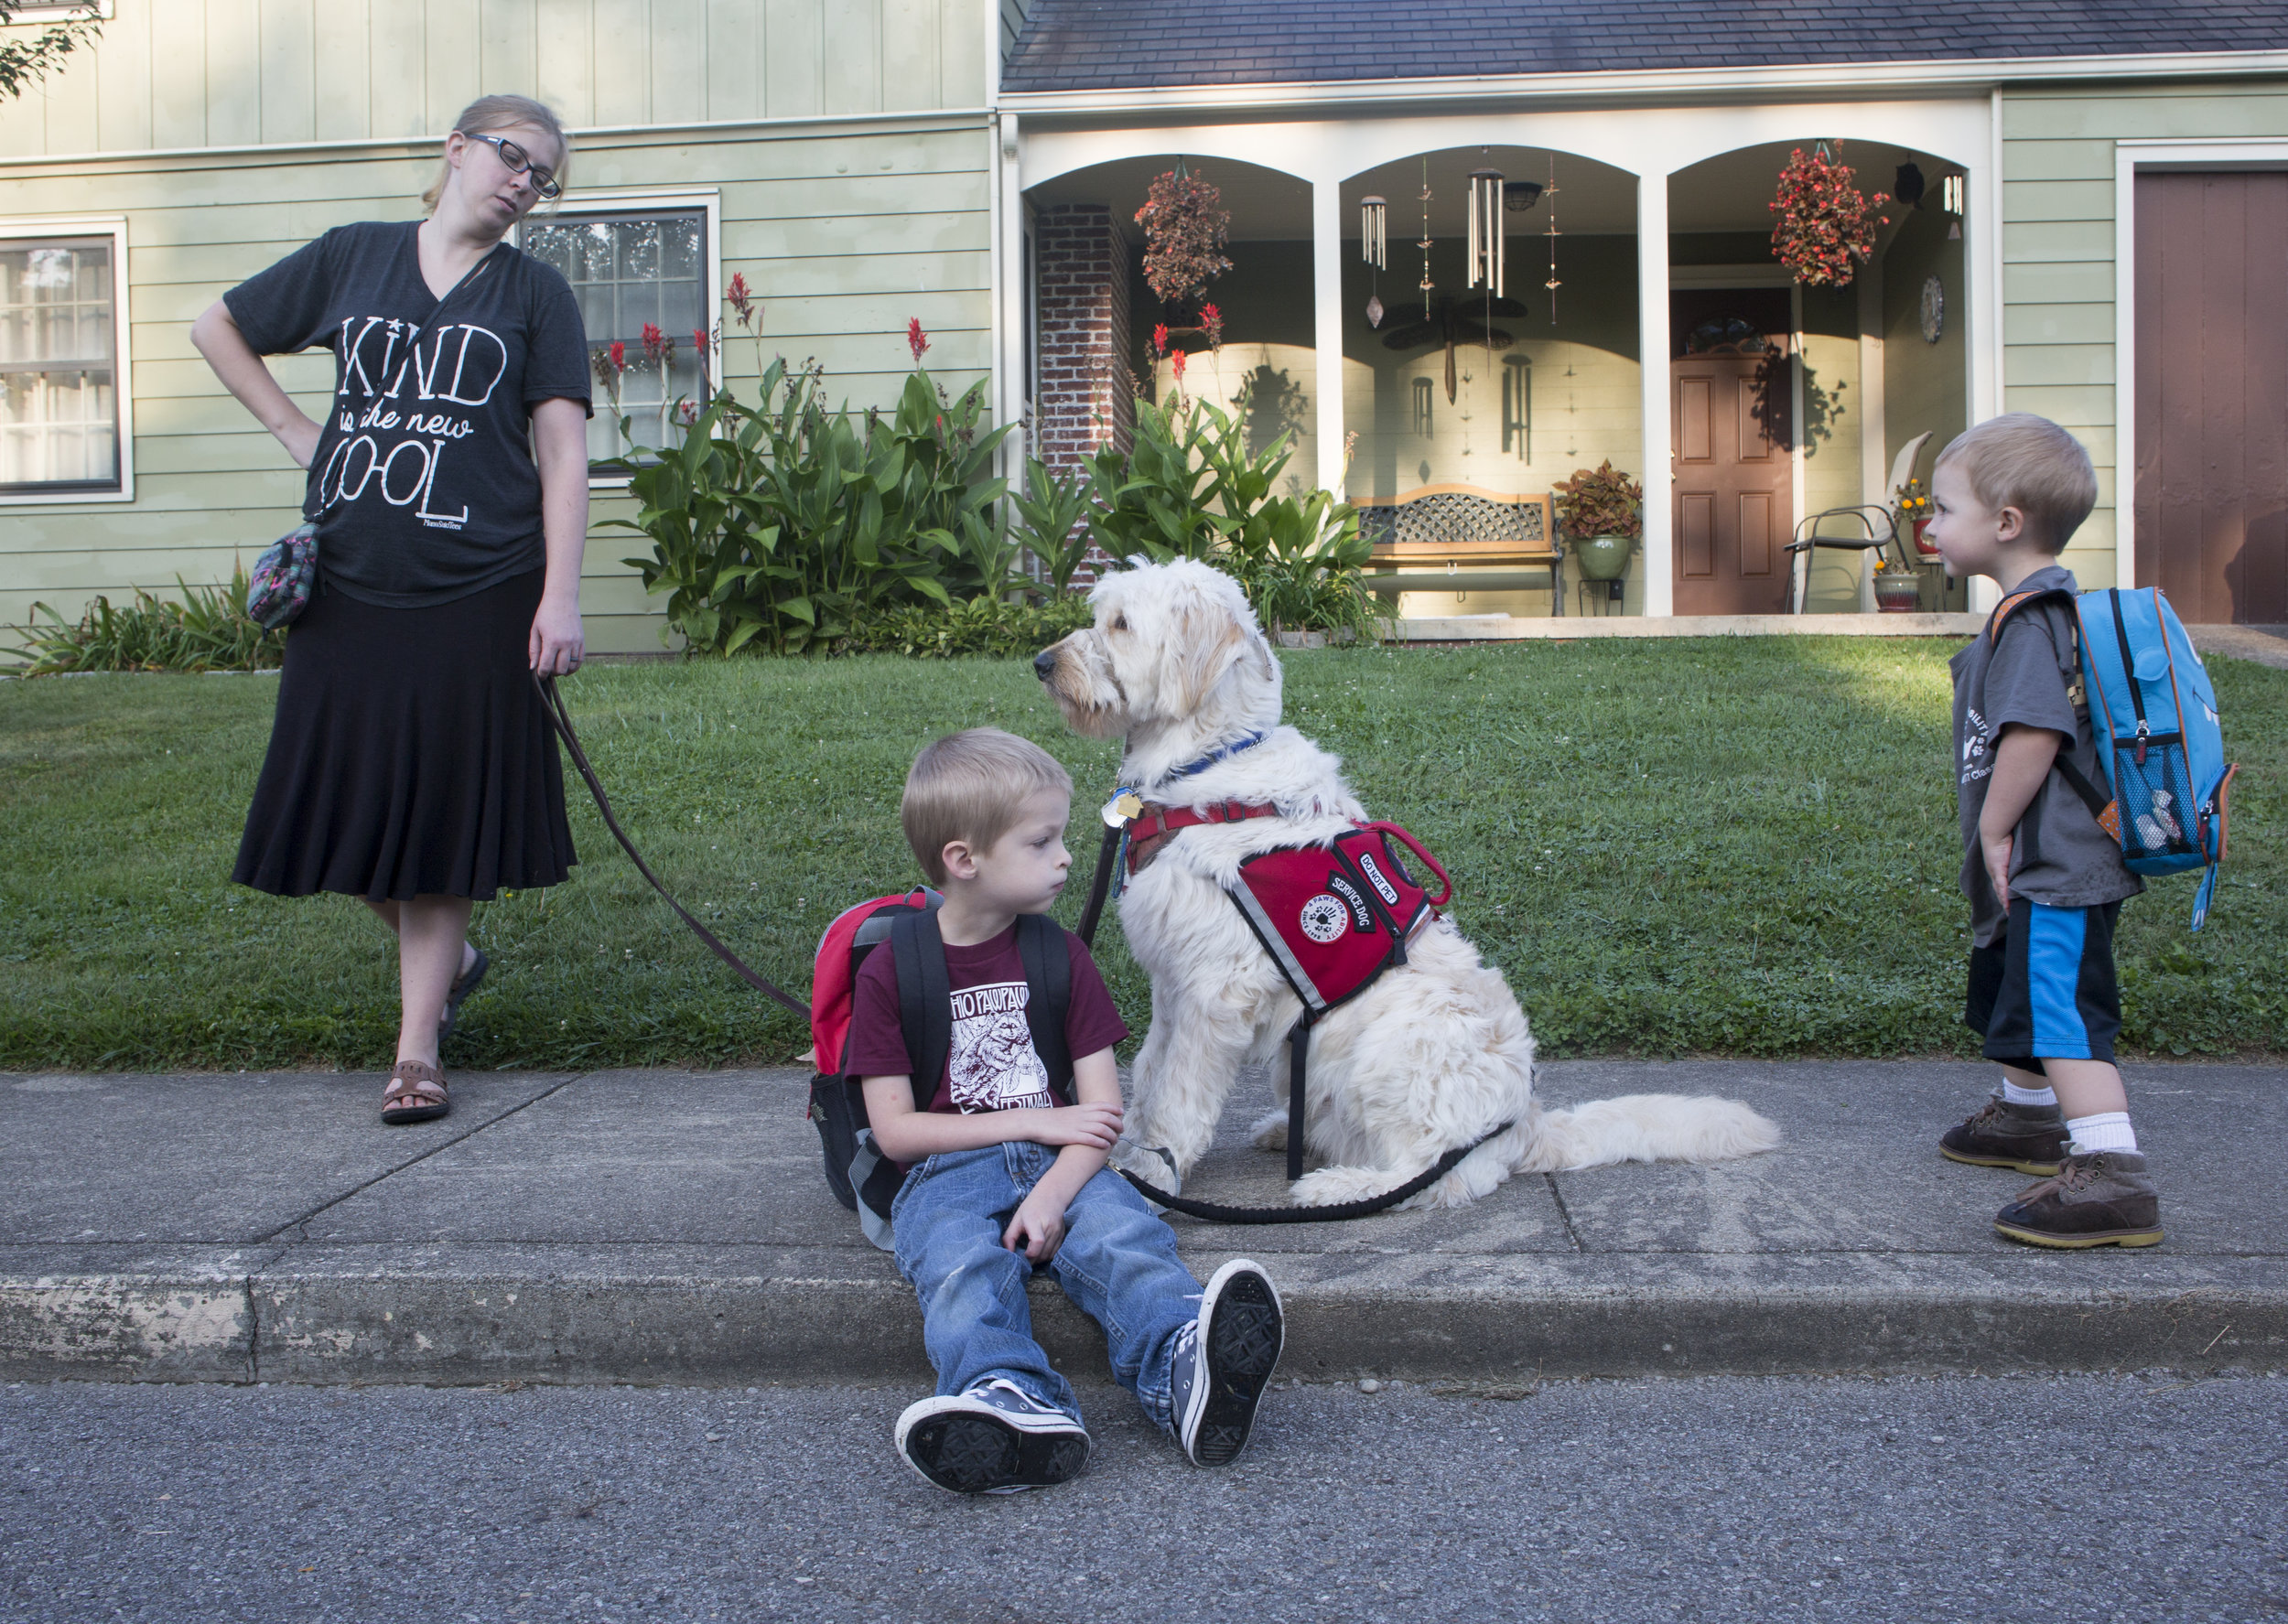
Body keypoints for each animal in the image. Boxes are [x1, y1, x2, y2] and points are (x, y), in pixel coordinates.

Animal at [1039, 560, 1785, 1208]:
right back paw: (1295, 1132)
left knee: (1433, 1175)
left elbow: (1178, 1096)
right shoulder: (1172, 983)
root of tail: (1524, 1125)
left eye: (1121, 624)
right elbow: (1148, 1074)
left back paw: (1335, 1187)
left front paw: (1154, 1170)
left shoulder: (1215, 991)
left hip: (1393, 1043)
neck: (1206, 768)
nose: (1042, 664)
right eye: (1100, 615)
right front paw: (1127, 1150)